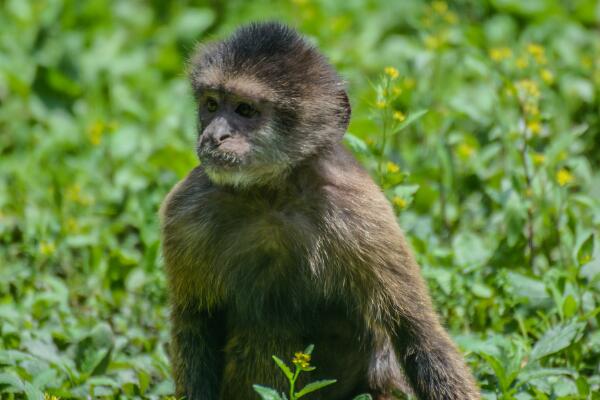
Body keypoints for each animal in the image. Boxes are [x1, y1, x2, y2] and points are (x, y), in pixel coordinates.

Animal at [158, 22, 478, 400]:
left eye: (244, 110)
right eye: (210, 104)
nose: (214, 136)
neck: (272, 195)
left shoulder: (359, 208)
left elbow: (416, 332)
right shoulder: (188, 209)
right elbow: (195, 321)